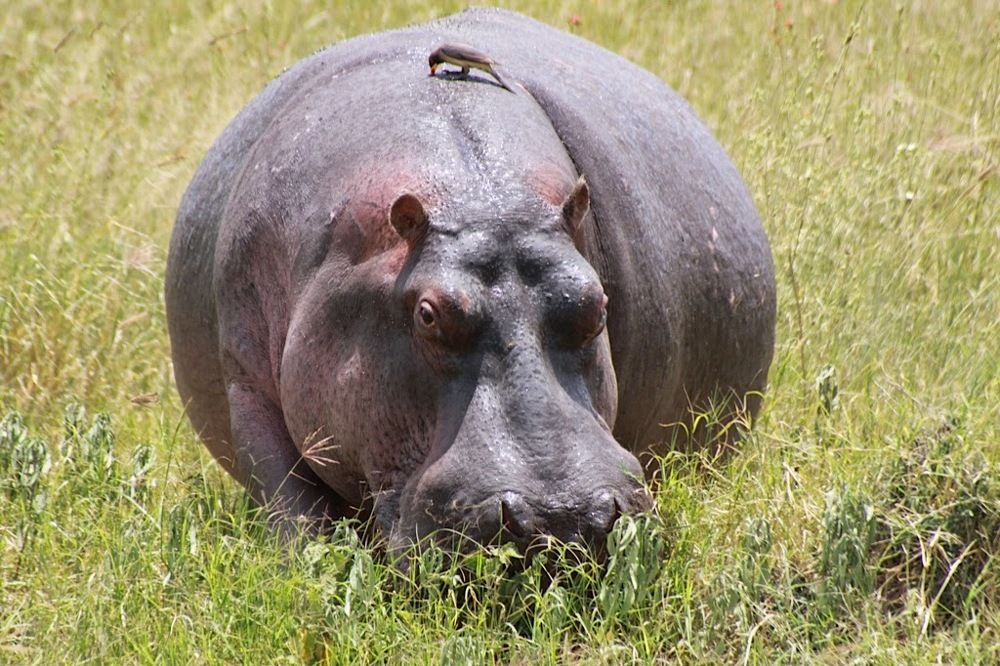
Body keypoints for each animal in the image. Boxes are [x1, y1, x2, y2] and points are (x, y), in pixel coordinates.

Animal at [164, 8, 776, 552]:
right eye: (427, 314)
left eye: (597, 303)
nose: (560, 518)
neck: (485, 200)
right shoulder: (245, 384)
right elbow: (294, 508)